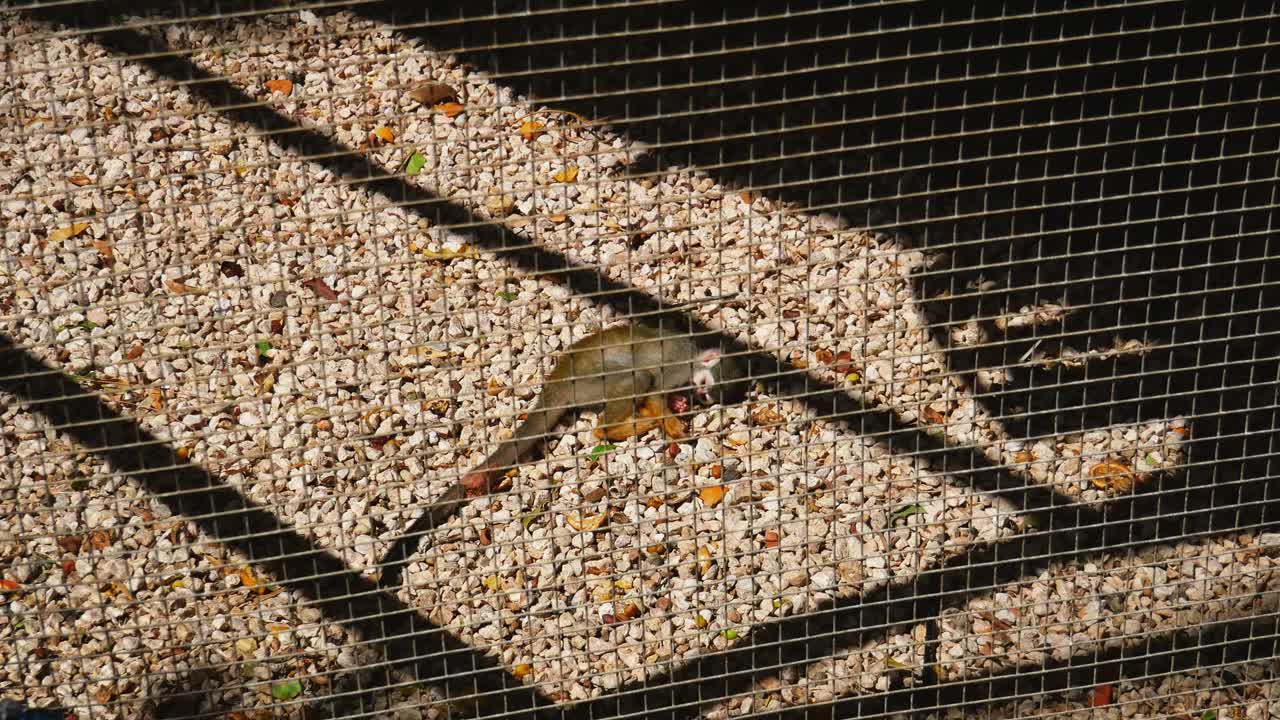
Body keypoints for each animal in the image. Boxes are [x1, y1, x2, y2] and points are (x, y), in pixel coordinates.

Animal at [378, 323, 745, 586]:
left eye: (705, 395)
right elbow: (656, 388)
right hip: (589, 384)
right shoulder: (677, 365)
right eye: (702, 385)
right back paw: (617, 429)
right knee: (637, 377)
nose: (694, 396)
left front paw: (678, 408)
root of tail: (555, 382)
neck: (693, 353)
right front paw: (671, 424)